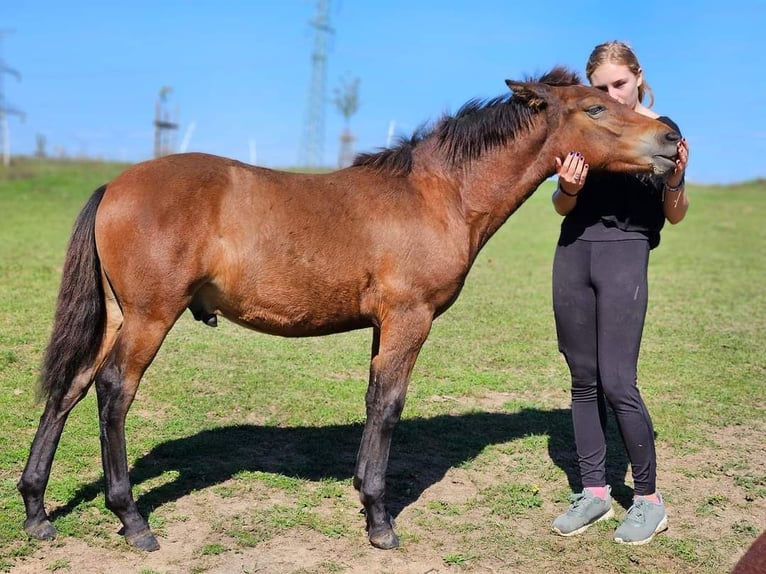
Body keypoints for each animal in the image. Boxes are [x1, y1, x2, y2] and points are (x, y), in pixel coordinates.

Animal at [18, 67, 680, 552]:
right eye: (594, 108)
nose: (671, 138)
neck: (437, 195)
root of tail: (115, 186)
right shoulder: (410, 320)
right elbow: (389, 407)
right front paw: (381, 523)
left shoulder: (384, 326)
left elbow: (371, 401)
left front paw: (365, 497)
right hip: (150, 317)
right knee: (112, 390)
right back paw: (132, 520)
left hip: (116, 315)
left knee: (70, 386)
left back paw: (36, 510)